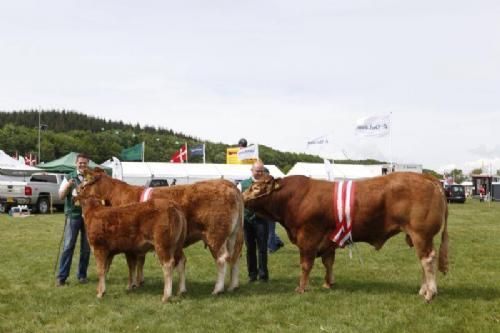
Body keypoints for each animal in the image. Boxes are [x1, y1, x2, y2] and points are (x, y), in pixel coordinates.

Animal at [79, 169, 245, 294]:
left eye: (83, 185)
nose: (76, 193)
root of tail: (228, 184)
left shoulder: (128, 244)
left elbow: (131, 264)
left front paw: (131, 285)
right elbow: (140, 262)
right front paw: (139, 282)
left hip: (215, 235)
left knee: (222, 259)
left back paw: (218, 289)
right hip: (233, 235)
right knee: (235, 257)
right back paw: (233, 286)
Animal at [242, 171, 450, 300]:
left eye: (256, 188)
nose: (242, 197)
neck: (293, 198)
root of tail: (425, 176)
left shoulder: (307, 237)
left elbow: (306, 265)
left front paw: (301, 288)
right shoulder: (327, 241)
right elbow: (328, 262)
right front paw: (328, 283)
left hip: (421, 234)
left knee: (428, 260)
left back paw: (430, 293)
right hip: (420, 237)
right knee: (424, 261)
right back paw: (423, 290)